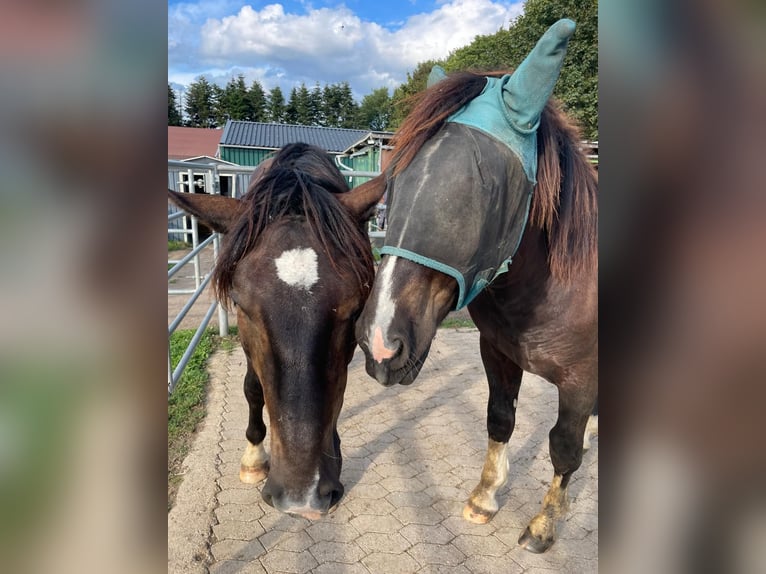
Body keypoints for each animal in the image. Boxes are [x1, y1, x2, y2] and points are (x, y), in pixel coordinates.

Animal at [356, 21, 600, 552]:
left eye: (486, 189)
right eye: (393, 181)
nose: (380, 344)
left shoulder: (581, 380)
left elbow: (564, 447)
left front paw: (545, 524)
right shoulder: (498, 354)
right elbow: (500, 419)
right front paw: (485, 497)